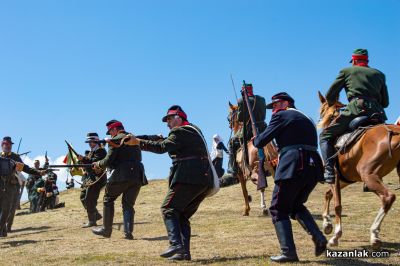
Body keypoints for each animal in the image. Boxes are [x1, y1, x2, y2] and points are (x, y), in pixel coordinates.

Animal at [318, 92, 398, 249]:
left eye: (322, 109)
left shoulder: (335, 176)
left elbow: (337, 205)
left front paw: (336, 236)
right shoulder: (346, 179)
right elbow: (328, 194)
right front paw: (326, 224)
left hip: (368, 175)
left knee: (388, 197)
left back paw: (374, 234)